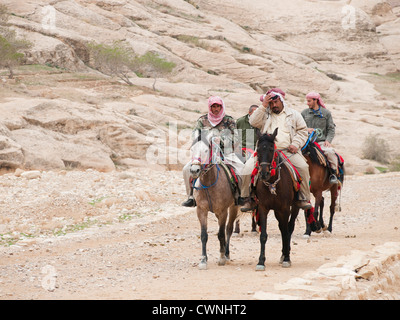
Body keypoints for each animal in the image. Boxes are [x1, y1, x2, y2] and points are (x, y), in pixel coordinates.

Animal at [190, 130, 238, 270]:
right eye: (192, 149)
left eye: (206, 150)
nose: (194, 170)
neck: (209, 184)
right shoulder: (201, 211)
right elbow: (204, 235)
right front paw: (203, 260)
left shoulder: (223, 212)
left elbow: (221, 234)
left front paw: (221, 257)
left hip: (233, 208)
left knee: (228, 229)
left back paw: (226, 254)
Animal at [253, 129, 300, 272]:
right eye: (258, 149)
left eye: (271, 149)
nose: (264, 173)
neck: (273, 183)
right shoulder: (263, 208)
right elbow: (263, 235)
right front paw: (261, 261)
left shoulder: (285, 209)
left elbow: (285, 232)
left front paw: (287, 259)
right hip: (277, 211)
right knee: (282, 227)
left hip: (293, 208)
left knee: (289, 228)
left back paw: (286, 254)